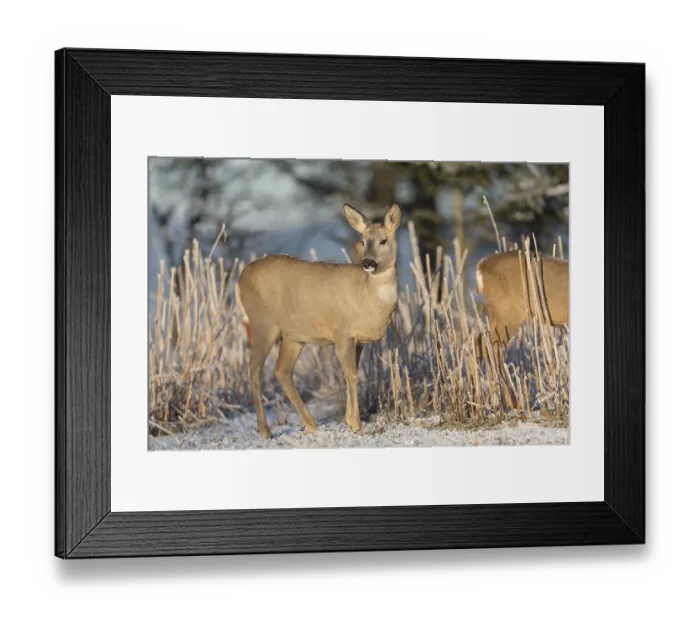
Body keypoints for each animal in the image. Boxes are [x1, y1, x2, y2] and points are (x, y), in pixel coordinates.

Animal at [238, 203, 402, 439]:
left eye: (383, 240)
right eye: (363, 241)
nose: (368, 263)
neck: (365, 295)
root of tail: (241, 276)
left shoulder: (357, 340)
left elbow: (351, 374)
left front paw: (349, 420)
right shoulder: (341, 332)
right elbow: (351, 374)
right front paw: (355, 424)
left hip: (293, 336)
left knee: (281, 370)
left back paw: (311, 424)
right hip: (263, 324)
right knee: (255, 367)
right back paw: (266, 430)